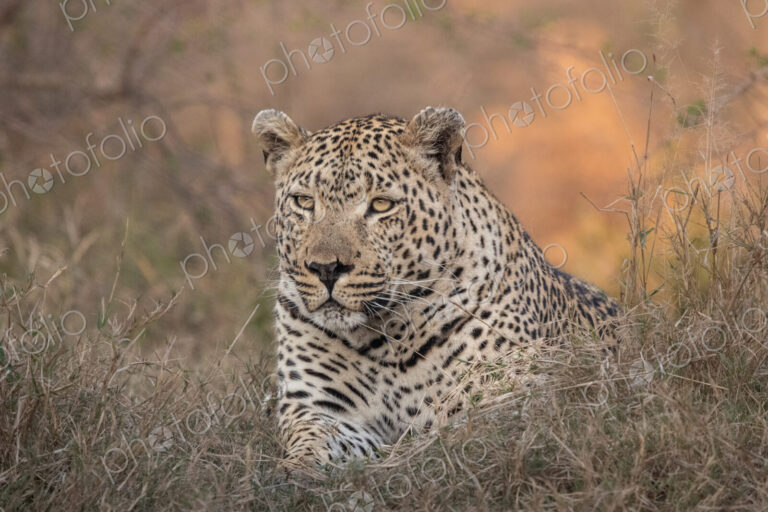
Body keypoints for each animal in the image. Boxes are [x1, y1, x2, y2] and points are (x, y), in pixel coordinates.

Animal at [251, 106, 620, 469]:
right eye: (304, 202)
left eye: (381, 205)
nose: (326, 268)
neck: (385, 338)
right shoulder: (319, 409)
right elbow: (310, 448)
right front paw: (296, 470)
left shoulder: (513, 393)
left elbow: (441, 439)